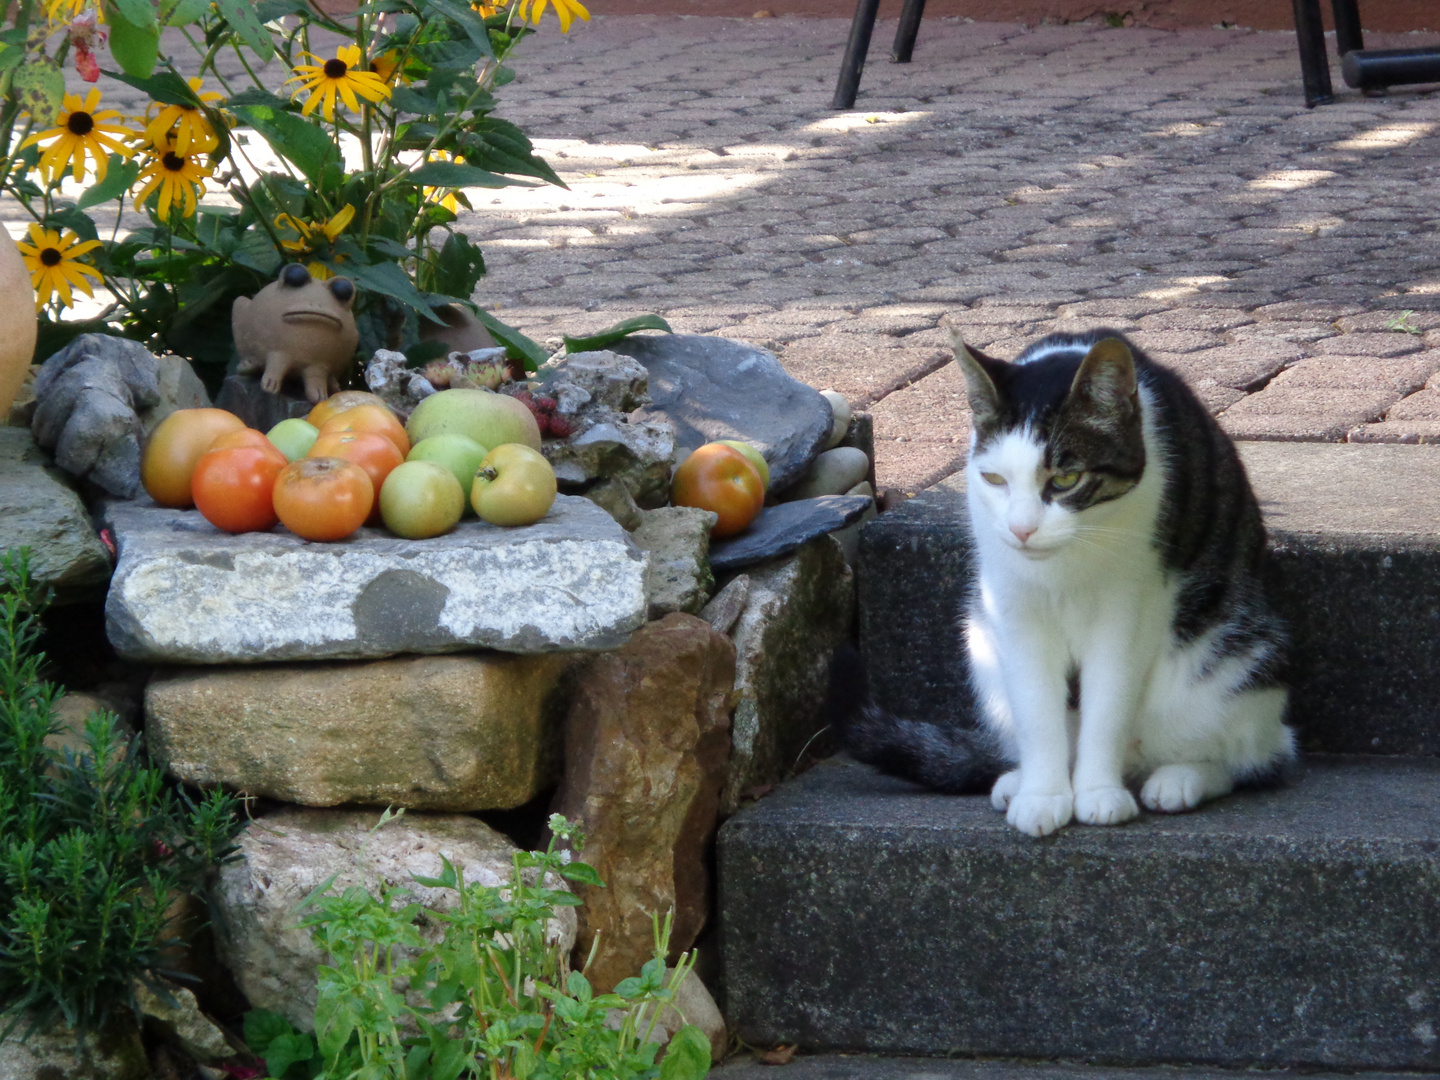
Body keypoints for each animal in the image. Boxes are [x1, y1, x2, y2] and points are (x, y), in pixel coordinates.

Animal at [835, 328, 1296, 835]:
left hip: (1237, 663)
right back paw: (1017, 780)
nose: (1021, 529)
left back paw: (1179, 780)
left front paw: (1098, 793)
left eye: (1067, 479)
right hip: (981, 643)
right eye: (994, 479)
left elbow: (1108, 704)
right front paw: (1042, 796)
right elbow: (1036, 709)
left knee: (1253, 756)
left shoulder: (1129, 605)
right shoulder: (1012, 604)